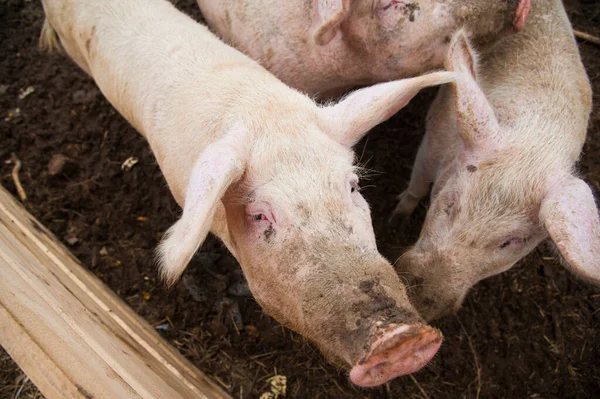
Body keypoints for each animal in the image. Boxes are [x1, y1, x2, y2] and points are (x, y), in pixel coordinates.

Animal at [392, 0, 596, 320]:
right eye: (450, 202)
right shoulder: (434, 135)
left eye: (511, 242)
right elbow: (417, 185)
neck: (536, 138)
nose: (419, 299)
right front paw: (396, 218)